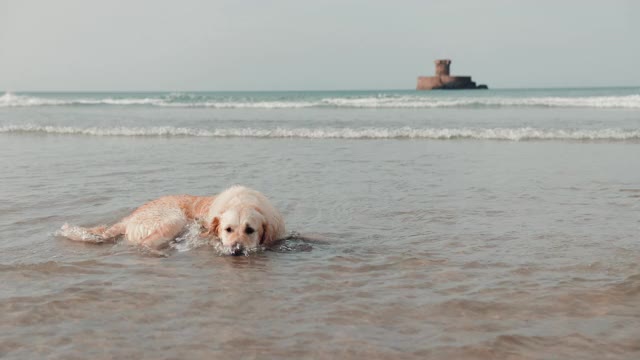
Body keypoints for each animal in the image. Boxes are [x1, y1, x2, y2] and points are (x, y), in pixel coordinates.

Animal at [59, 186, 284, 256]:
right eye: (228, 229)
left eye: (250, 230)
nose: (236, 250)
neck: (243, 200)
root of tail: (130, 216)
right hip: (174, 219)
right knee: (145, 243)